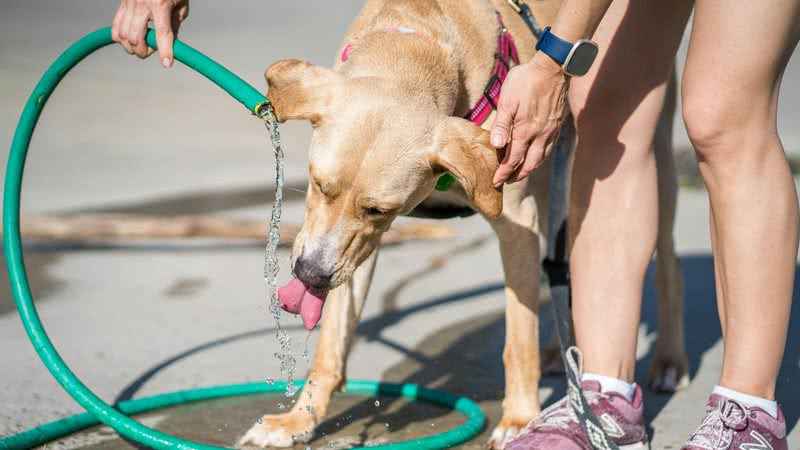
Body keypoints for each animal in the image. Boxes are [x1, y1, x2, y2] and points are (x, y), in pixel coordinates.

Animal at [238, 1, 688, 448]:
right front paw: (299, 419)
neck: (417, 40)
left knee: (666, 261)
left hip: (645, 153)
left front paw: (519, 418)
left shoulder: (517, 222)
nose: (309, 275)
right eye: (318, 184)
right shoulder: (351, 250)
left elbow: (518, 340)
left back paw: (669, 361)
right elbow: (331, 343)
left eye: (379, 210)